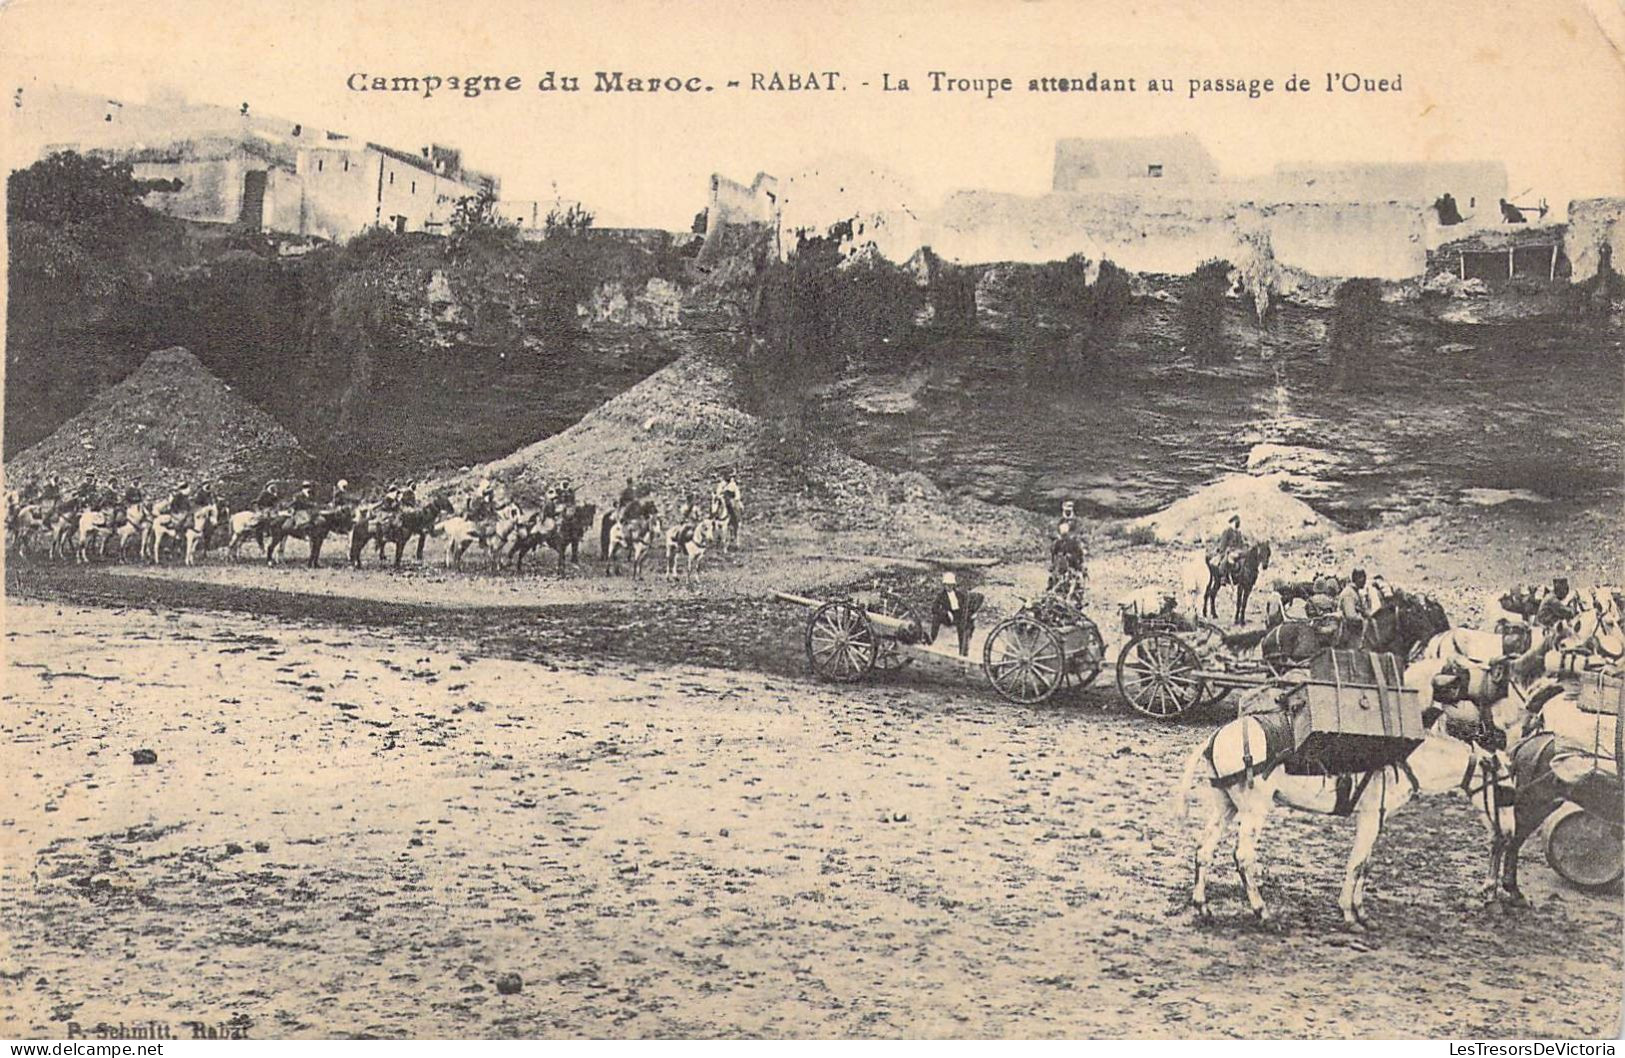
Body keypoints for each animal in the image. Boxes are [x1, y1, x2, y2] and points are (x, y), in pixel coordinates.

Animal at [1176, 669, 1527, 936]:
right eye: (1504, 791)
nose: (1510, 833)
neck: (1404, 758)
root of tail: (1214, 738)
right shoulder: (1369, 815)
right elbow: (1357, 863)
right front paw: (1349, 914)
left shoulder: (1376, 818)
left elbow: (1366, 863)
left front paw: (1360, 911)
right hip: (1254, 808)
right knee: (1244, 857)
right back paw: (1263, 913)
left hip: (1226, 804)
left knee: (1203, 849)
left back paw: (1203, 907)